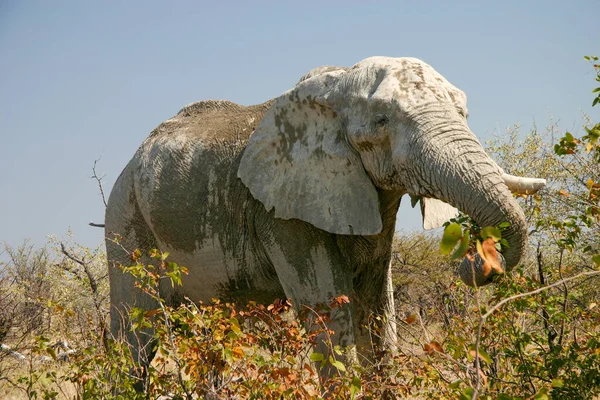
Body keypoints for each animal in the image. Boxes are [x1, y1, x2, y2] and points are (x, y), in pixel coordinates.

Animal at [105, 55, 548, 366]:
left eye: (464, 114)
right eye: (382, 120)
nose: (472, 262)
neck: (337, 85)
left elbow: (379, 311)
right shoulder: (282, 212)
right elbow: (330, 314)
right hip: (126, 222)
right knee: (136, 333)